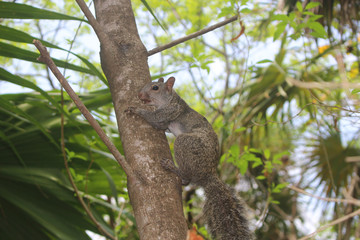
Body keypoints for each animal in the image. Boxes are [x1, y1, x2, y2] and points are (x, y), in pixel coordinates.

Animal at [126, 77, 253, 240]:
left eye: (155, 87)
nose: (139, 94)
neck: (171, 99)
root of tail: (208, 173)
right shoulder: (166, 123)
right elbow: (161, 127)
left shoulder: (170, 112)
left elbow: (153, 118)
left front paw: (136, 110)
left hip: (186, 144)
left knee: (186, 176)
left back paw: (172, 167)